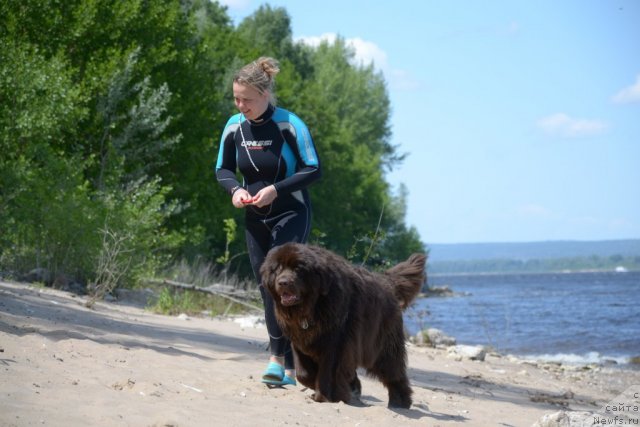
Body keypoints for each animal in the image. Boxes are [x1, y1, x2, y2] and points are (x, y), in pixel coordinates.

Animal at [260, 244, 424, 408]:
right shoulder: (300, 342)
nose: (283, 282)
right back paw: (354, 387)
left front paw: (324, 396)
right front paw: (317, 386)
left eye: (298, 269)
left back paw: (399, 401)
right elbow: (303, 374)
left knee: (393, 371)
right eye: (277, 269)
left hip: (382, 346)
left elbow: (328, 372)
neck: (313, 306)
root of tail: (387, 282)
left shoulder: (336, 344)